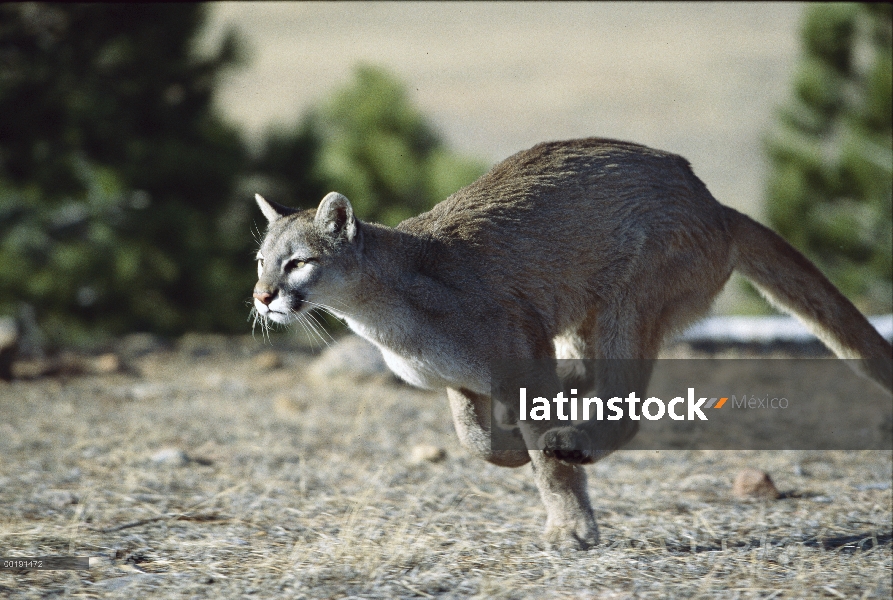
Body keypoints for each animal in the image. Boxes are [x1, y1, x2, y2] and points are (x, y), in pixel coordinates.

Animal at [251, 138, 892, 552]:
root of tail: (714, 203)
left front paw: (570, 527)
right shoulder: (464, 379)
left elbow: (543, 459)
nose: (261, 296)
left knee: (626, 409)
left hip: (629, 304)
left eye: (297, 263)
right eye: (260, 261)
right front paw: (510, 451)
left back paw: (575, 439)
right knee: (586, 381)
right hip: (584, 318)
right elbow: (473, 438)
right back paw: (568, 414)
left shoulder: (521, 353)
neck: (378, 310)